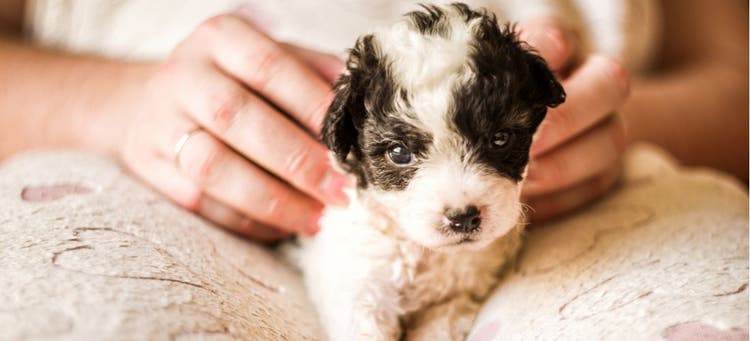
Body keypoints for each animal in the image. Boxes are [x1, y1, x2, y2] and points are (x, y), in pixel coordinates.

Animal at [294, 3, 564, 340]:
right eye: (399, 153)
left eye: (500, 139)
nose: (463, 218)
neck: (426, 251)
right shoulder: (357, 273)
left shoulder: (459, 290)